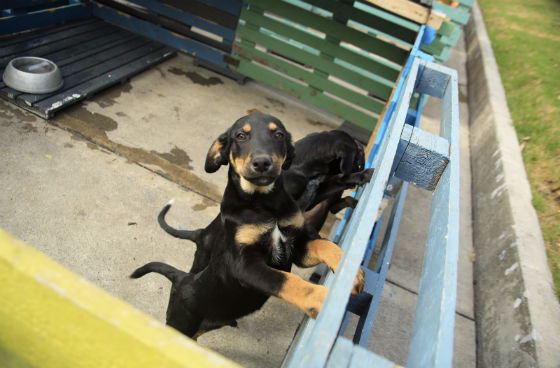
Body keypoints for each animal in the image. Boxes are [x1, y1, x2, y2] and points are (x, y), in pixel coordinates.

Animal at [132, 113, 368, 338]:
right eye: (241, 136)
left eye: (278, 135)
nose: (262, 163)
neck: (263, 202)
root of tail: (181, 278)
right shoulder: (244, 264)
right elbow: (284, 279)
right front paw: (322, 298)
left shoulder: (296, 247)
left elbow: (325, 245)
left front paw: (351, 273)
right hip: (182, 321)